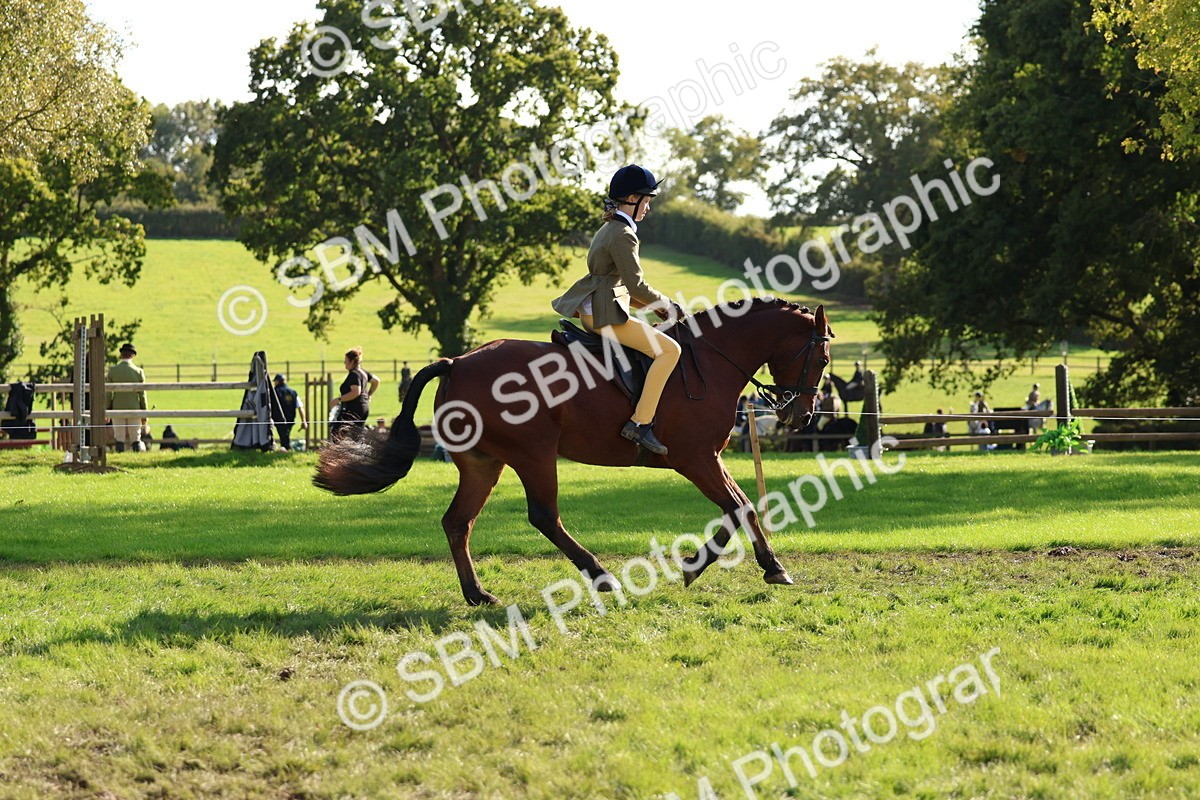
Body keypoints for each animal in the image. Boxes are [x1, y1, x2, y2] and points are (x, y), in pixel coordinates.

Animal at [314, 299, 833, 605]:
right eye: (824, 359)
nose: (802, 415)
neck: (709, 360)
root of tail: (457, 362)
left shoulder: (709, 459)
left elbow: (741, 507)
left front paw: (749, 567)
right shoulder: (696, 459)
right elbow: (738, 507)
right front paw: (721, 568)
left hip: (484, 462)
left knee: (458, 522)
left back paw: (478, 594)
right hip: (534, 453)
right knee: (544, 516)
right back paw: (602, 578)